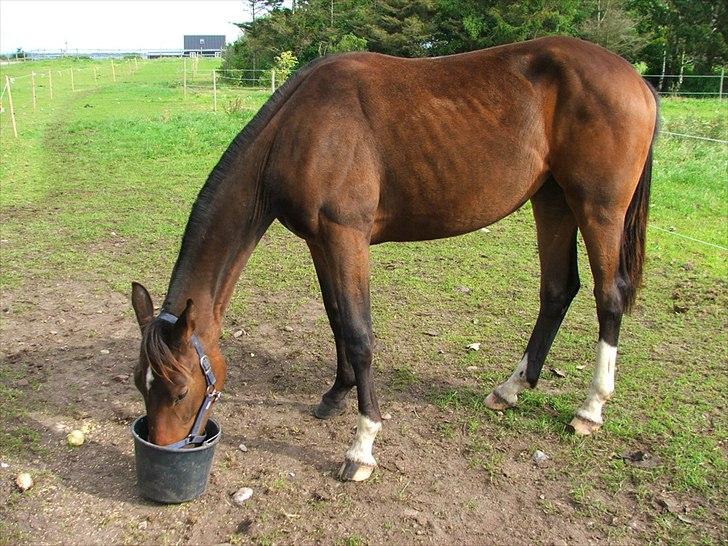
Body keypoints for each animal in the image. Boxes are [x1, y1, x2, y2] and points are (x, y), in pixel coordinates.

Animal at [131, 37, 660, 480]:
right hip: (552, 200)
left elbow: (360, 334)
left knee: (608, 296)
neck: (299, 128)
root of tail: (638, 83)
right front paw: (336, 394)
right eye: (141, 383)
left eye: (180, 390)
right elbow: (337, 318)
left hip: (597, 208)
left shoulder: (346, 236)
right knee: (557, 290)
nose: (159, 445)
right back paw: (508, 390)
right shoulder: (320, 241)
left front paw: (362, 446)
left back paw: (590, 409)